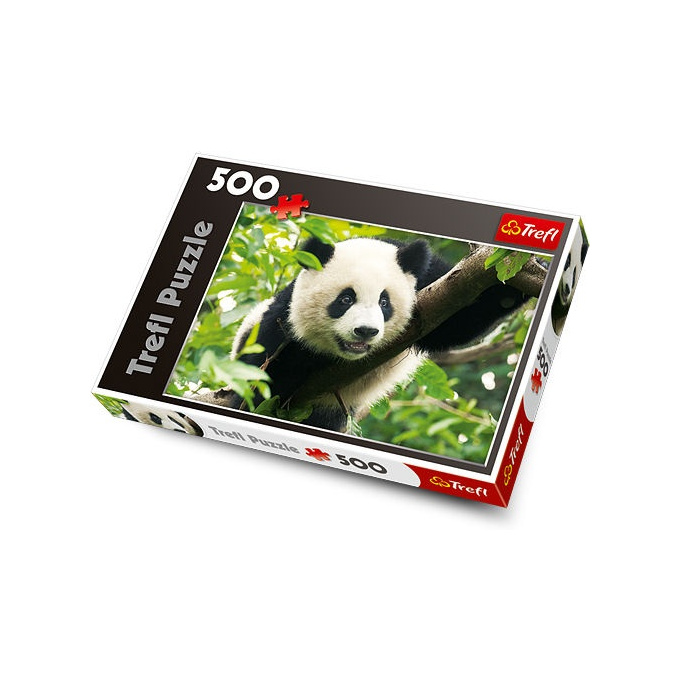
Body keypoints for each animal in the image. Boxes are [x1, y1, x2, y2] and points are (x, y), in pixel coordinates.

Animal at [220, 236, 526, 432]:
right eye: (345, 299)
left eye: (384, 301)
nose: (365, 331)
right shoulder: (283, 322)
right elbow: (263, 378)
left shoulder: (429, 281)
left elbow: (457, 321)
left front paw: (515, 276)